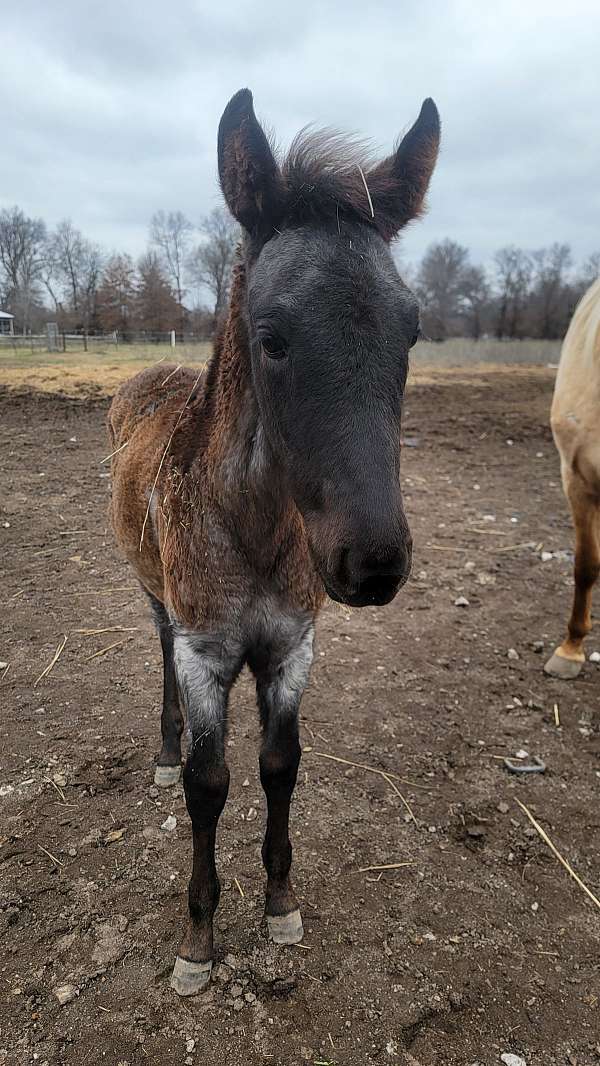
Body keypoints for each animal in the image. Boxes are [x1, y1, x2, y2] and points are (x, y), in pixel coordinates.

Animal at [108, 87, 439, 993]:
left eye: (411, 332)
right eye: (273, 337)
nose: (373, 560)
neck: (251, 525)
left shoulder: (291, 648)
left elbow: (279, 765)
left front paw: (281, 907)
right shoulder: (207, 653)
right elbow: (209, 782)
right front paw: (197, 939)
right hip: (154, 596)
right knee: (157, 654)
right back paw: (162, 748)